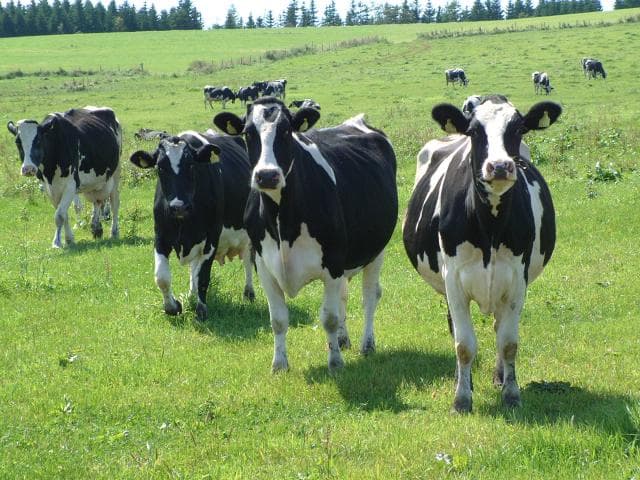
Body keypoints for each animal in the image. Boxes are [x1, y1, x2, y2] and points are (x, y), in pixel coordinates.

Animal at [7, 106, 121, 248]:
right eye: (17, 142)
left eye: (38, 140)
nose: (28, 169)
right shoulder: (49, 188)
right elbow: (63, 213)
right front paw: (69, 239)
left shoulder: (70, 185)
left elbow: (59, 215)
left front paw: (56, 242)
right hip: (94, 182)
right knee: (98, 201)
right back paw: (96, 228)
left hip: (115, 174)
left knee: (114, 203)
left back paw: (114, 232)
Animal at [129, 130, 254, 321]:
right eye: (160, 167)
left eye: (191, 165)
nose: (178, 207)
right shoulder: (160, 236)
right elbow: (162, 277)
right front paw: (173, 307)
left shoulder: (212, 237)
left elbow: (203, 276)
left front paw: (201, 309)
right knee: (194, 267)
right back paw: (191, 295)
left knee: (248, 259)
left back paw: (248, 293)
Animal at [213, 97, 398, 372]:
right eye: (248, 133)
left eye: (286, 131)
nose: (267, 175)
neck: (282, 223)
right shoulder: (263, 264)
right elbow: (278, 319)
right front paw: (279, 364)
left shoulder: (333, 263)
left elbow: (329, 317)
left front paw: (335, 363)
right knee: (344, 296)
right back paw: (343, 340)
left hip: (377, 250)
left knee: (369, 296)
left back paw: (367, 344)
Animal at [403, 95, 561, 413]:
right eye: (475, 132)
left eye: (518, 129)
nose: (499, 166)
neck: (490, 225)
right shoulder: (453, 279)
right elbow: (463, 344)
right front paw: (462, 398)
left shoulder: (517, 279)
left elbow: (508, 342)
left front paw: (511, 393)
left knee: (499, 326)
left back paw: (500, 376)